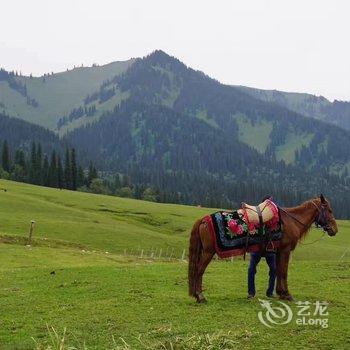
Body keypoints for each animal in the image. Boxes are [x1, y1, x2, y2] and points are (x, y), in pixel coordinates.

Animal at [189, 194, 340, 304]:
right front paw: (287, 295)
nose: (334, 230)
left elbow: (278, 271)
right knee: (199, 270)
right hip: (208, 252)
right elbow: (284, 272)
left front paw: (280, 293)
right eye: (329, 210)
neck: (291, 221)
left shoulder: (278, 252)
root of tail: (204, 219)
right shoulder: (285, 250)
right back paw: (201, 297)